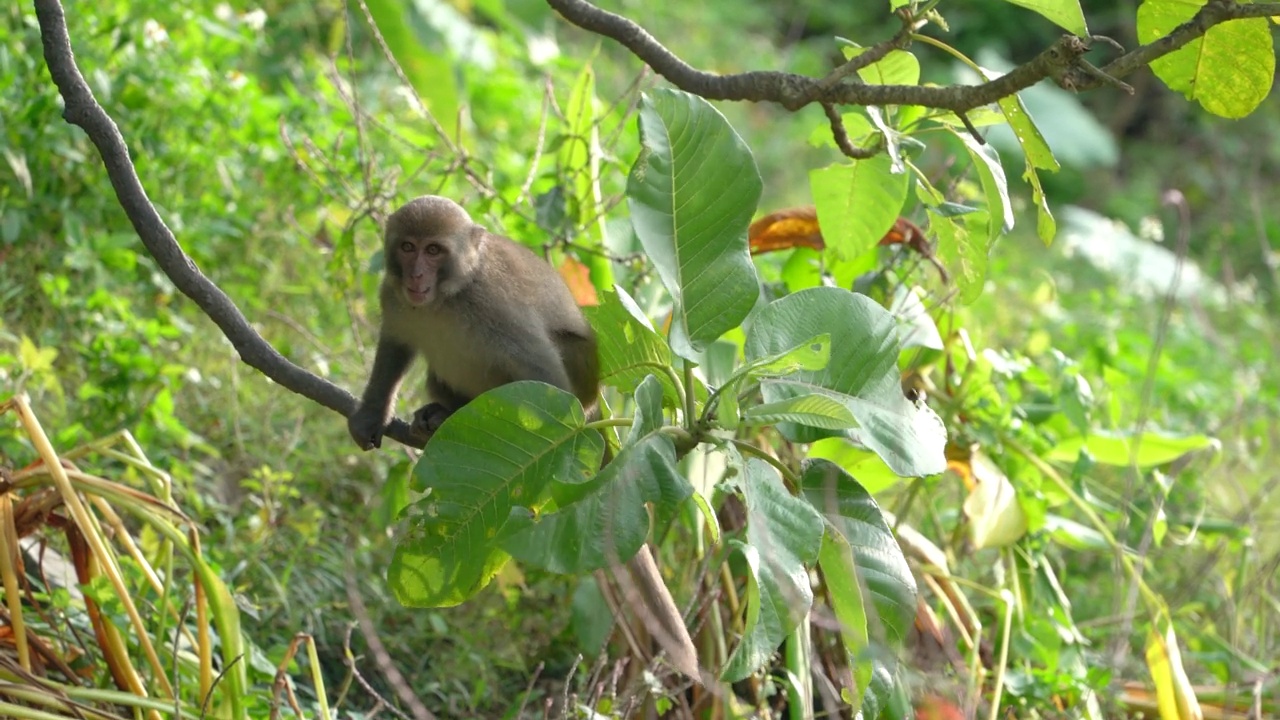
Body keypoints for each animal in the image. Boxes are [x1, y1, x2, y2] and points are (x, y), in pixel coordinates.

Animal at [348, 194, 701, 676]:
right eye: (407, 247)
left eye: (434, 250)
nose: (417, 274)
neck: (449, 297)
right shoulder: (394, 295)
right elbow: (395, 346)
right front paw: (371, 414)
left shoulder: (495, 310)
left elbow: (544, 379)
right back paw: (441, 411)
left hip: (583, 382)